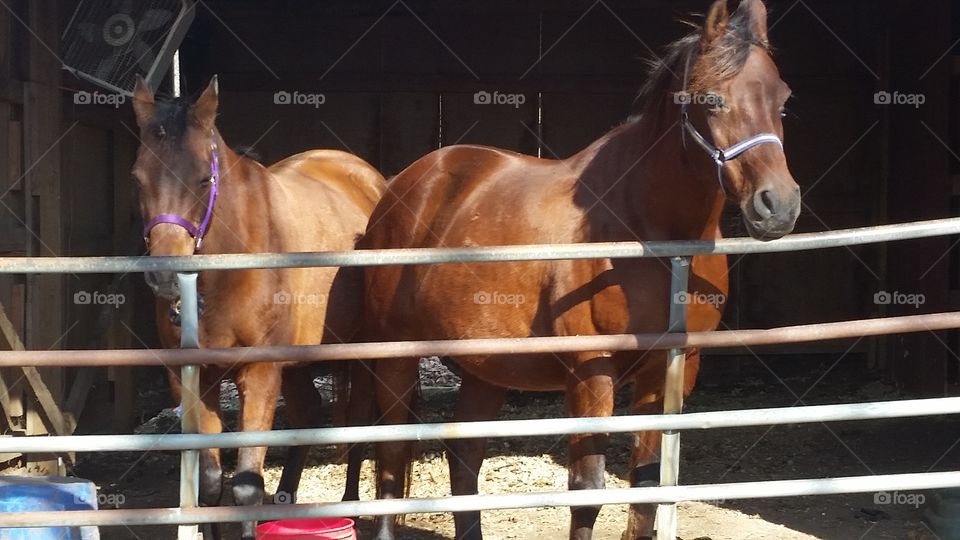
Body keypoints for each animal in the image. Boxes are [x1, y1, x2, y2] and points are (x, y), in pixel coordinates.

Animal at [130, 77, 386, 540]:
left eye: (203, 179)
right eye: (137, 178)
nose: (165, 275)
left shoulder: (260, 372)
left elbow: (246, 485)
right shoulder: (196, 379)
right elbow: (211, 483)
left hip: (362, 353)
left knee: (358, 422)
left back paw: (351, 507)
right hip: (298, 363)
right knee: (306, 412)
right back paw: (286, 502)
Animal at [356, 2, 800, 536]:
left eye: (782, 100)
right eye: (712, 99)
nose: (778, 206)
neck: (649, 231)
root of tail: (404, 184)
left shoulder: (670, 369)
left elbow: (647, 486)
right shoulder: (591, 371)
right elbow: (587, 491)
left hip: (486, 368)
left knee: (463, 457)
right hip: (396, 356)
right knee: (391, 454)